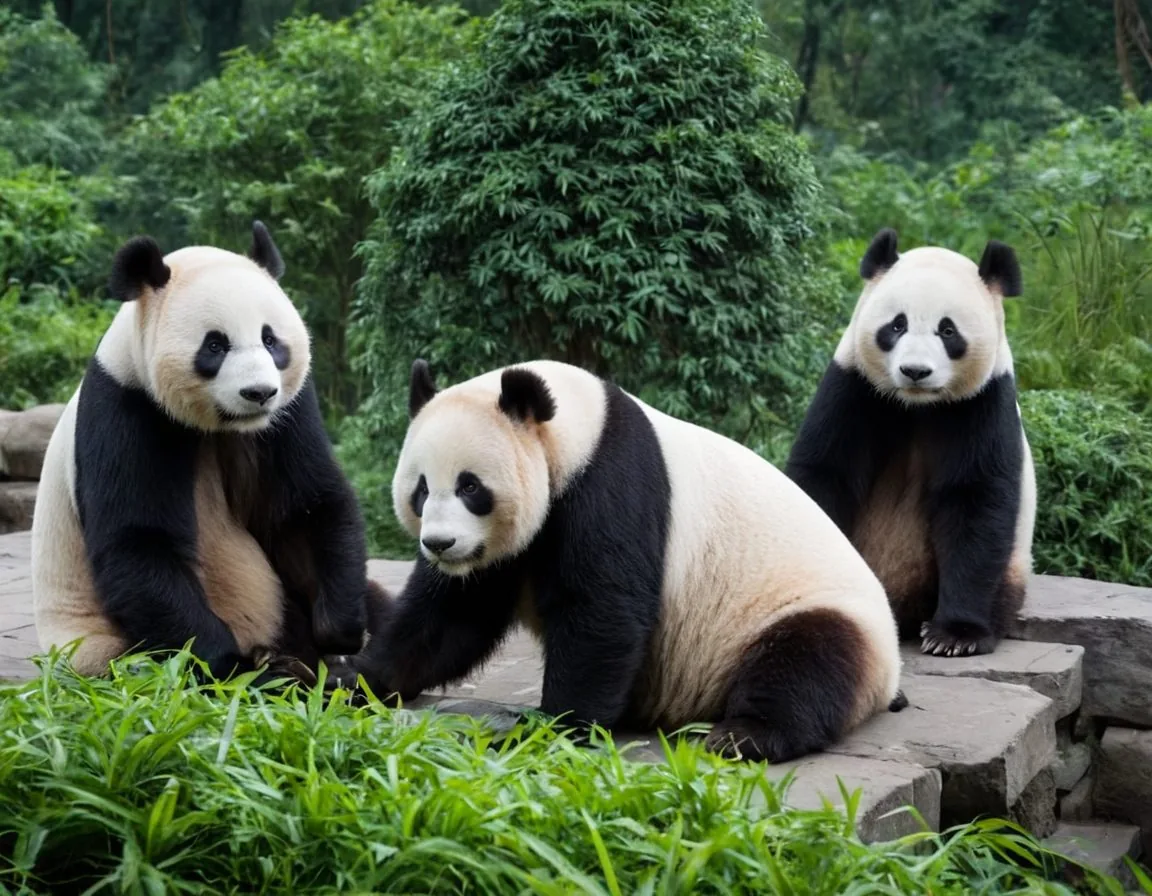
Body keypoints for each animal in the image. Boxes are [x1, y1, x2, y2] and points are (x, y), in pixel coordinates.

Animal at [30, 222, 383, 685]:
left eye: (270, 339)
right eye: (215, 346)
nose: (259, 393)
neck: (224, 425)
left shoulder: (288, 413)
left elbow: (303, 506)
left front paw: (339, 636)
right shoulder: (126, 405)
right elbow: (141, 542)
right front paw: (231, 666)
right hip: (96, 647)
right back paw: (277, 670)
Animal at [325, 358, 906, 763]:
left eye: (471, 487)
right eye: (421, 490)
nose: (439, 545)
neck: (576, 428)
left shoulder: (610, 482)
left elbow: (601, 609)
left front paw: (550, 728)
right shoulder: (503, 549)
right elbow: (450, 616)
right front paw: (347, 680)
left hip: (805, 607)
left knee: (808, 658)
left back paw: (744, 736)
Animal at [784, 228, 1037, 658]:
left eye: (948, 331)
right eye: (896, 326)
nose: (915, 371)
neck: (918, 405)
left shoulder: (984, 401)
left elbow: (975, 498)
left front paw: (954, 636)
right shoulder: (855, 385)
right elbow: (826, 471)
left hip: (1013, 564)